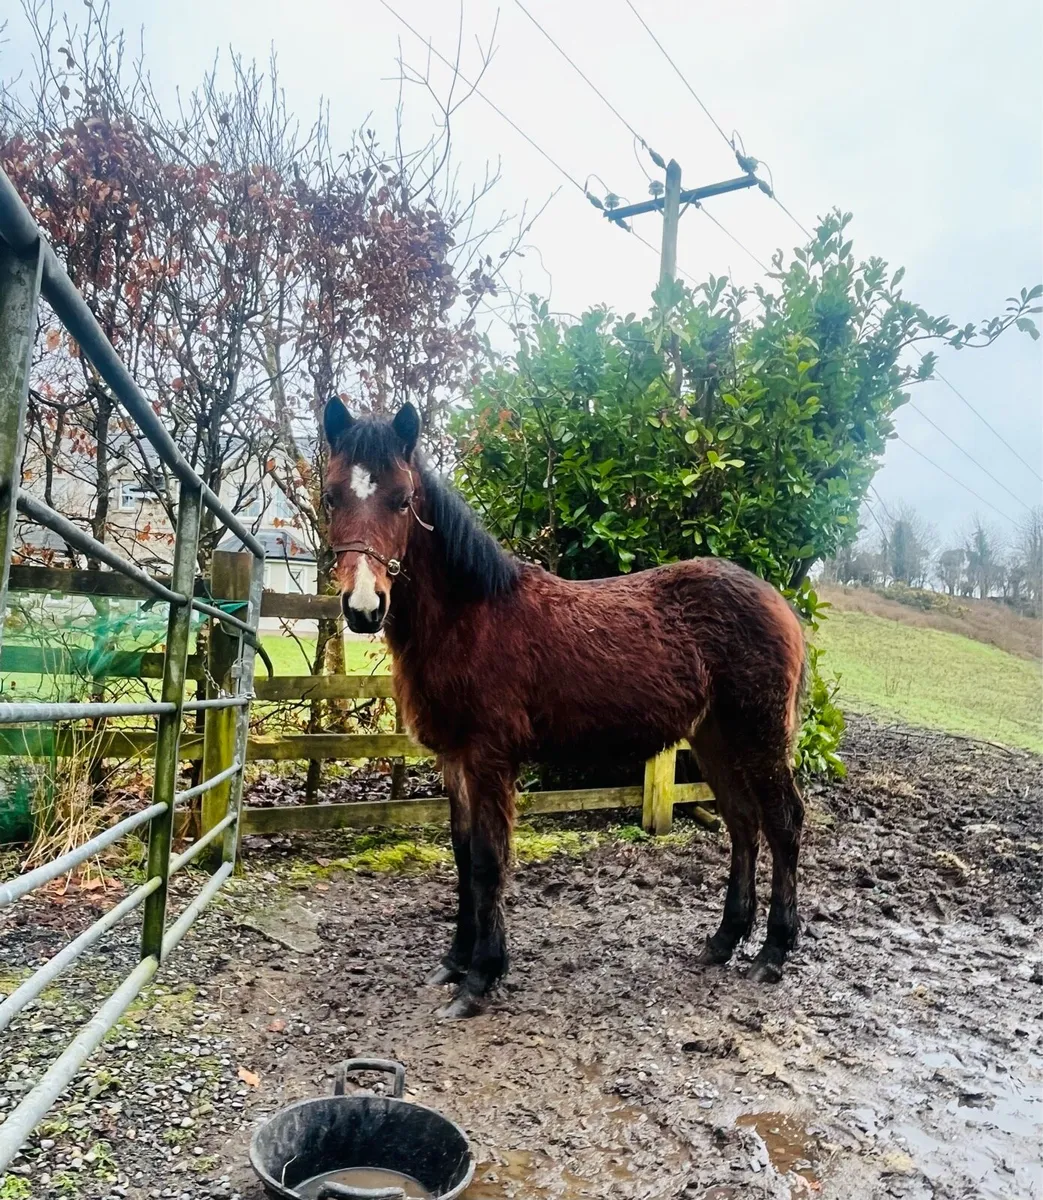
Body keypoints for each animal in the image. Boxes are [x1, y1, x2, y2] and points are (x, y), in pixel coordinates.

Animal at [322, 399, 808, 1019]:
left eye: (402, 500)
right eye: (332, 496)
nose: (364, 608)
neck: (471, 617)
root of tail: (780, 603)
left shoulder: (490, 760)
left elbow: (487, 861)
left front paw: (480, 978)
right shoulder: (455, 761)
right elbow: (461, 855)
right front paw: (455, 962)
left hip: (759, 737)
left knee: (783, 821)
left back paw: (773, 951)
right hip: (714, 738)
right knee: (744, 823)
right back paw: (723, 941)